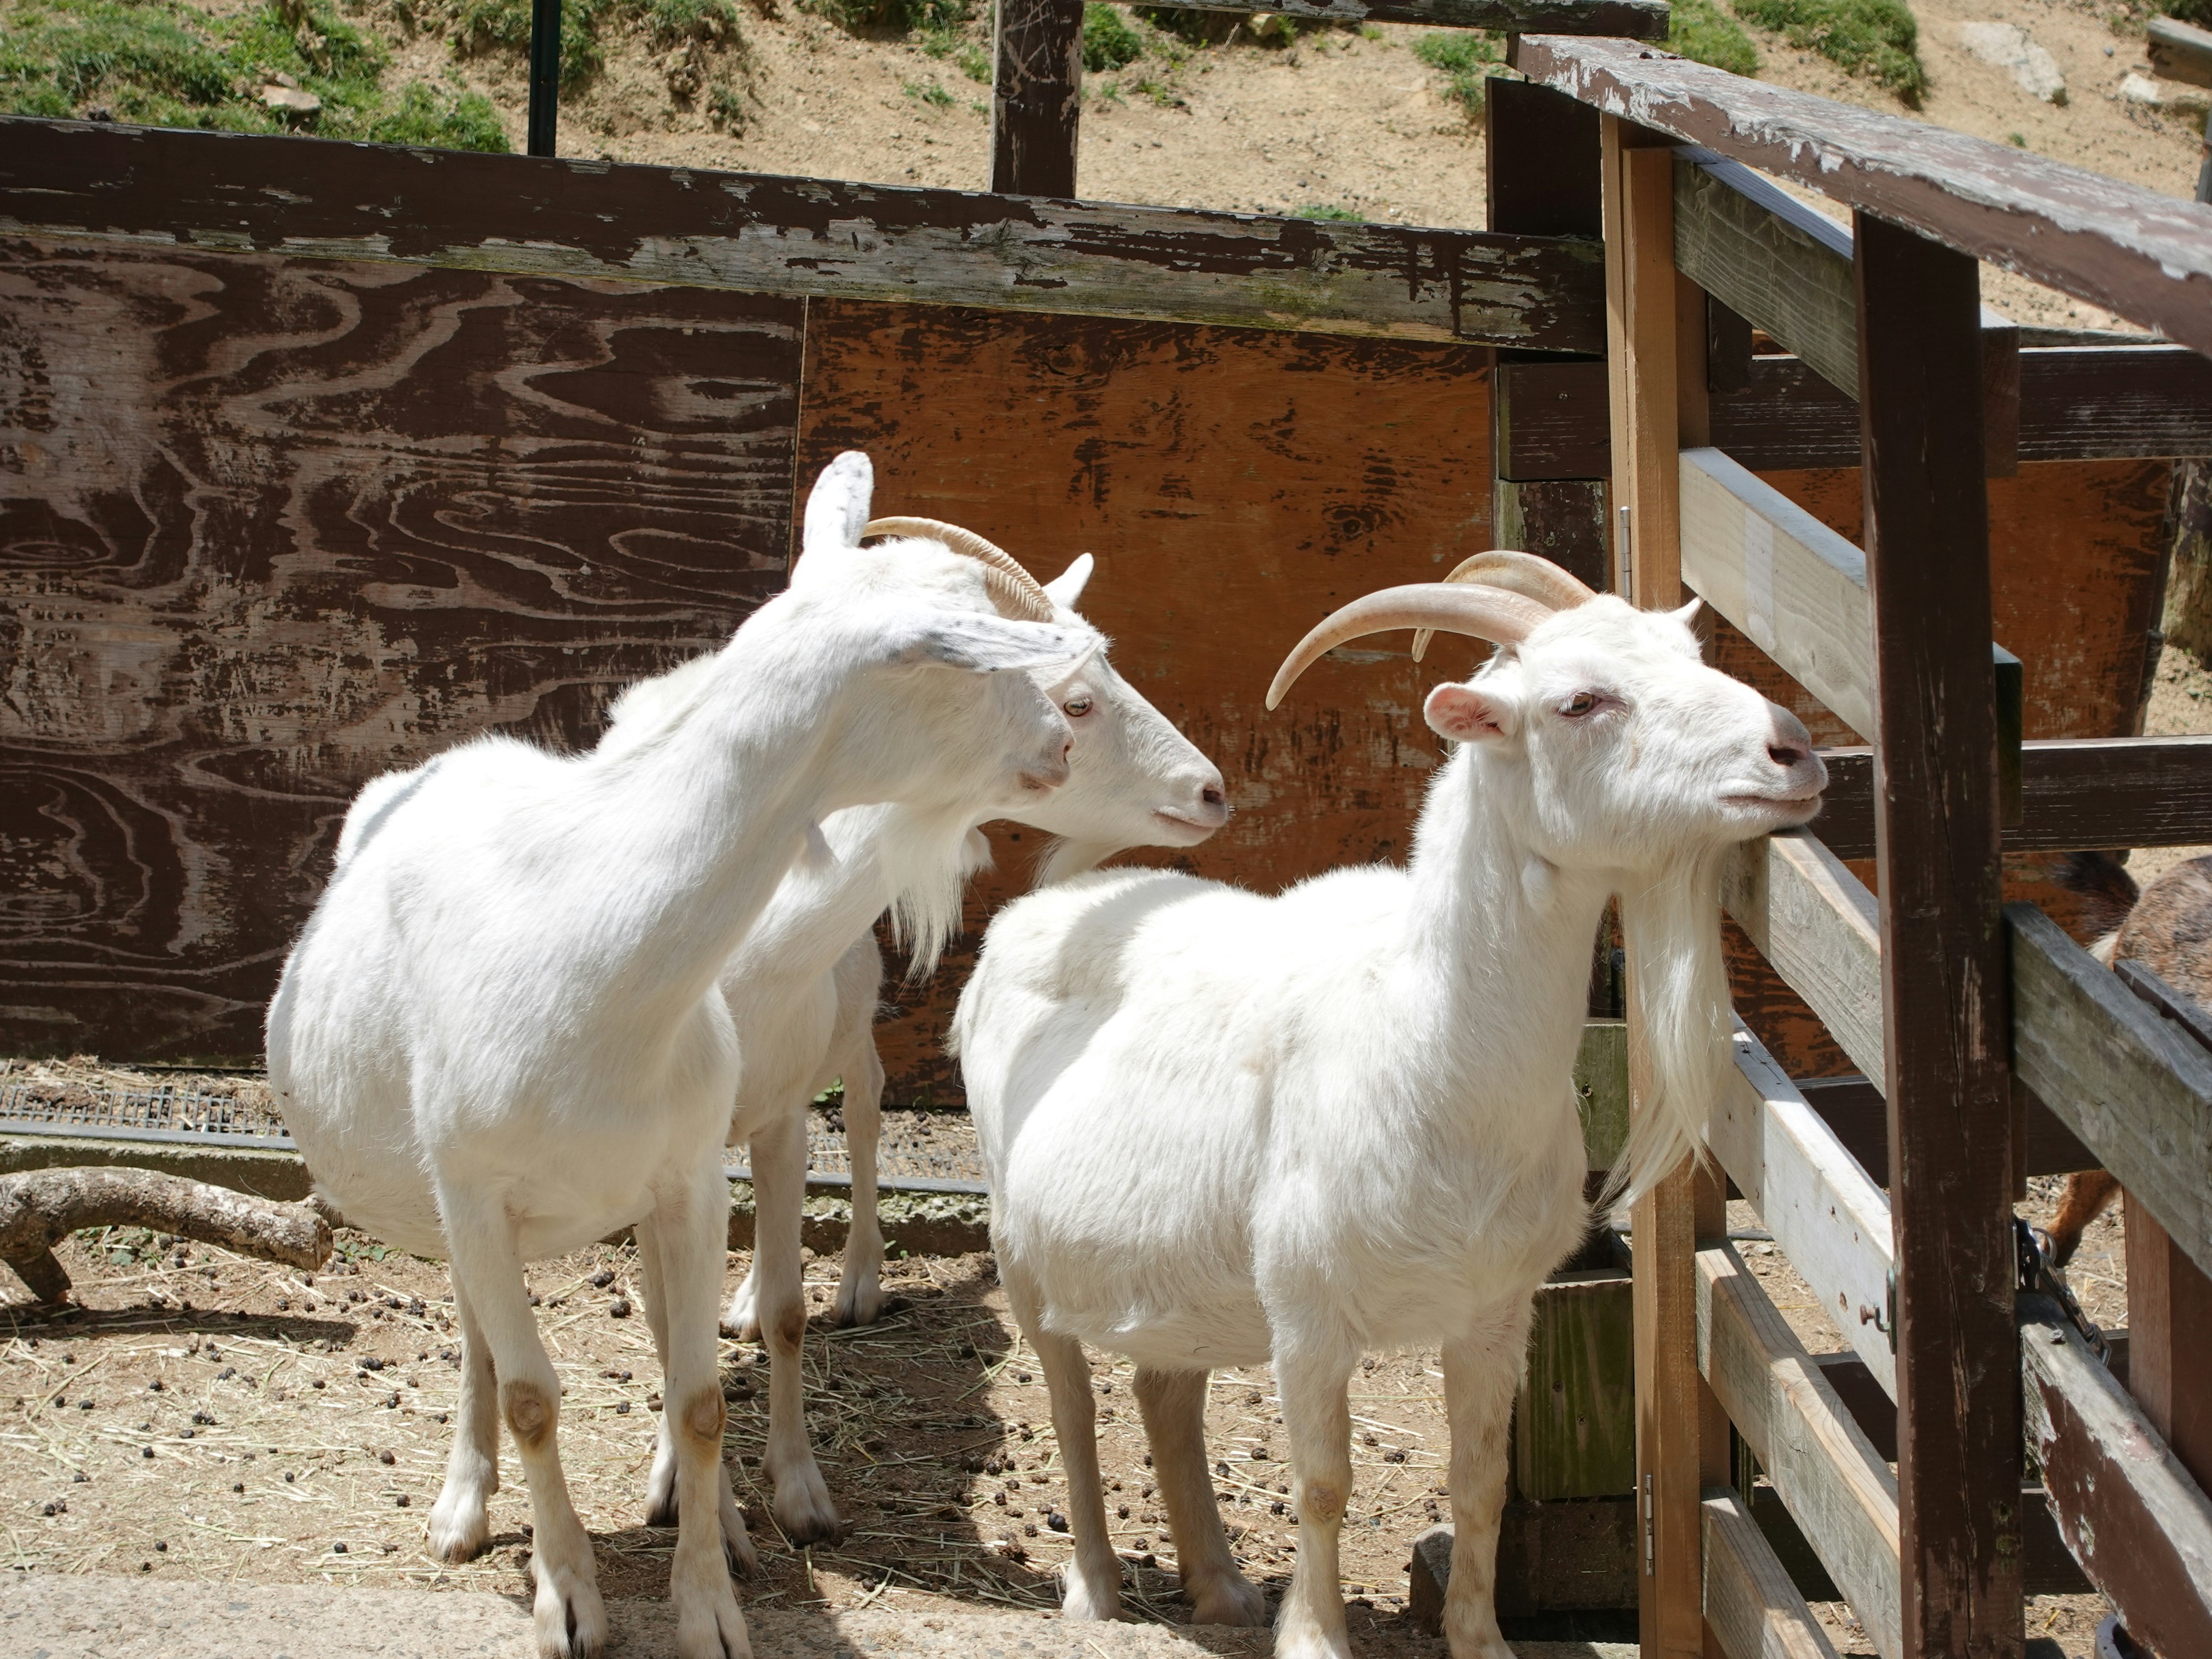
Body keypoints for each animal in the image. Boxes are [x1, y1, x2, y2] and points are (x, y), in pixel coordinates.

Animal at [272, 451, 1101, 1659]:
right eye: (970, 656)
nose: (1060, 745)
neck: (598, 967)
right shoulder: (474, 1185)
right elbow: (533, 1397)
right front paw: (570, 1602)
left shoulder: (689, 1173)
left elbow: (702, 1396)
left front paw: (710, 1604)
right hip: (451, 1195)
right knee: (479, 1340)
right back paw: (464, 1507)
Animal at [606, 541, 1230, 1548]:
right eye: (1076, 702)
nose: (1211, 790)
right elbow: (667, 1321)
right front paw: (684, 1492)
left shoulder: (781, 1104)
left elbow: (788, 1311)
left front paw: (800, 1495)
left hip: (850, 998)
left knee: (862, 1093)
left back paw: (856, 1278)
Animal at [960, 559, 1823, 1659]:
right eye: (1580, 701)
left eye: (1693, 656)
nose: (1791, 749)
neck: (1428, 1050)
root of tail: (1051, 904)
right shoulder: (1307, 1311)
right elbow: (1323, 1483)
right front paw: (1316, 1637)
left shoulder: (1497, 1311)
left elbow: (1480, 1480)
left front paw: (1480, 1638)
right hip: (1019, 1245)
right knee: (1071, 1403)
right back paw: (1096, 1589)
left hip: (1180, 1268)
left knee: (1165, 1389)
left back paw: (1222, 1589)